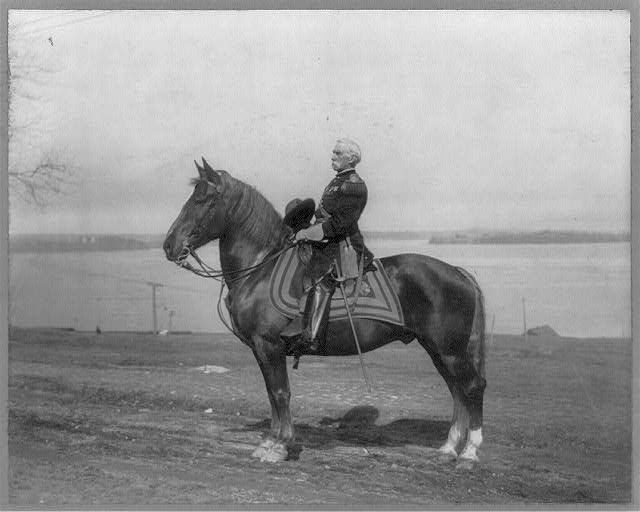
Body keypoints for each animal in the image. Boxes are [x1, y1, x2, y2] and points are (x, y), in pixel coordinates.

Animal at [164, 159, 484, 464]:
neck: (261, 268)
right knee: (456, 391)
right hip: (437, 350)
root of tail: (456, 271)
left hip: (450, 351)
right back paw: (449, 448)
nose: (169, 245)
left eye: (203, 201)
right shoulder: (260, 348)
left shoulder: (269, 345)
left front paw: (280, 445)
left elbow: (280, 393)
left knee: (471, 387)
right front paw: (270, 441)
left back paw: (469, 452)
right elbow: (271, 393)